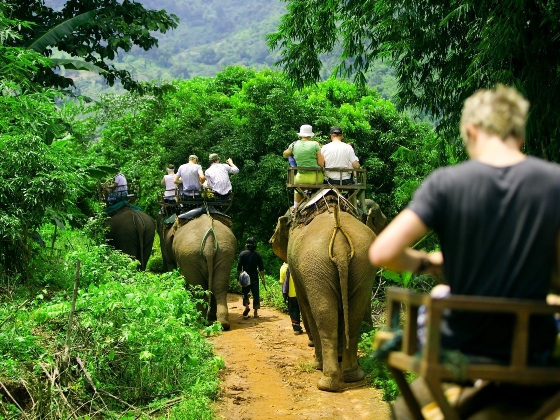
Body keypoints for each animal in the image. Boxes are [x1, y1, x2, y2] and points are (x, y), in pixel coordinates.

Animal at [270, 202, 376, 392]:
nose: (270, 240)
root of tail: (339, 236)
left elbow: (305, 305)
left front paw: (316, 362)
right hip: (363, 265)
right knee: (353, 317)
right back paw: (352, 376)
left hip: (315, 267)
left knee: (323, 318)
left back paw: (325, 383)